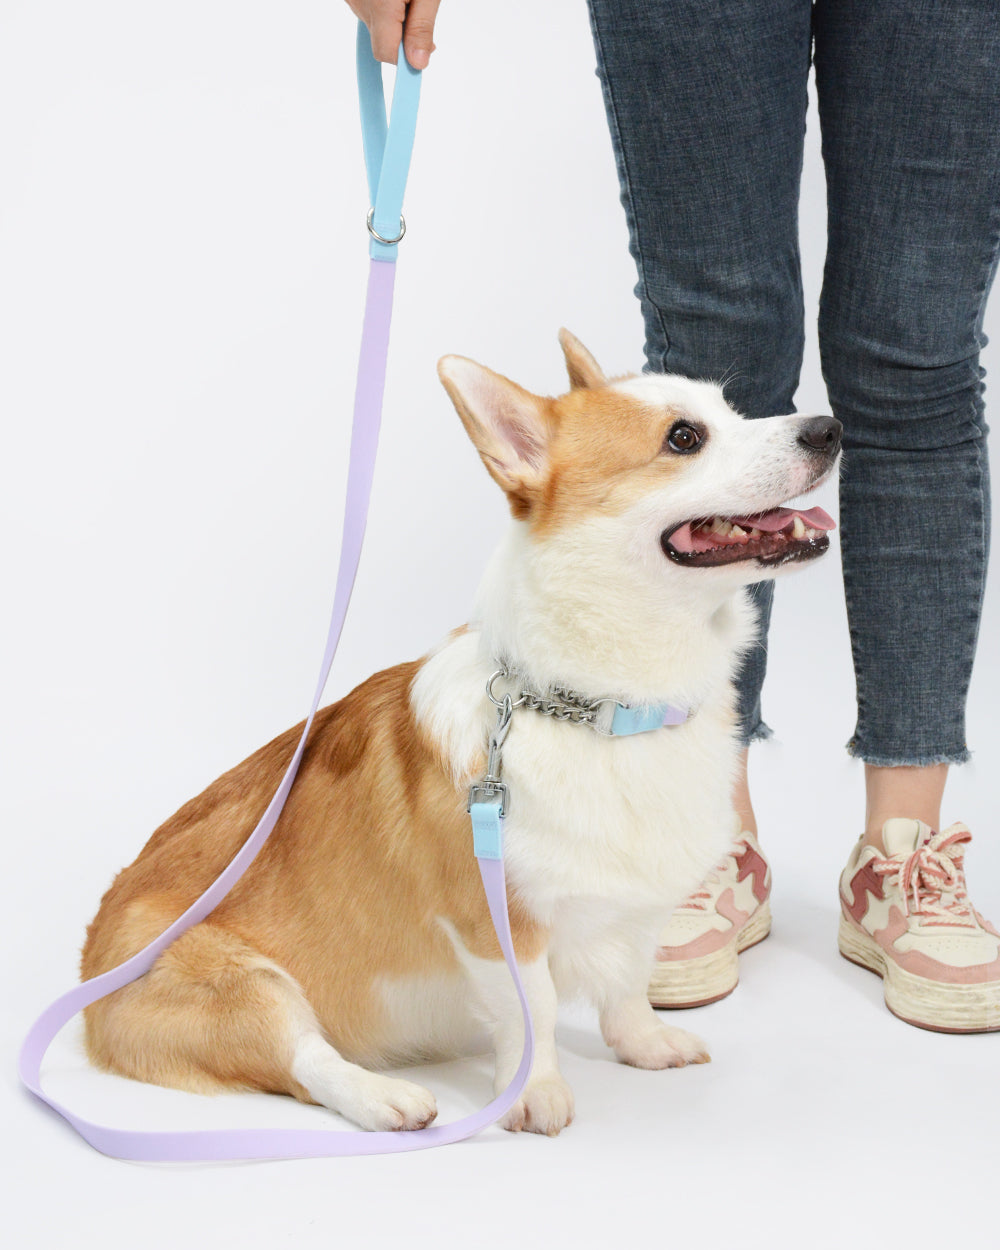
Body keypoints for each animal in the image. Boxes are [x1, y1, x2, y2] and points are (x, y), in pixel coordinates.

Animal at [81, 337, 840, 1140]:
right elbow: (534, 1009)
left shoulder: (636, 906)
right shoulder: (494, 923)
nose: (829, 429)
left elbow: (629, 983)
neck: (601, 707)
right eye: (684, 438)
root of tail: (85, 965)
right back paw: (385, 1098)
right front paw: (533, 1092)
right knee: (301, 1058)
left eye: (730, 410)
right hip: (242, 983)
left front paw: (642, 1045)